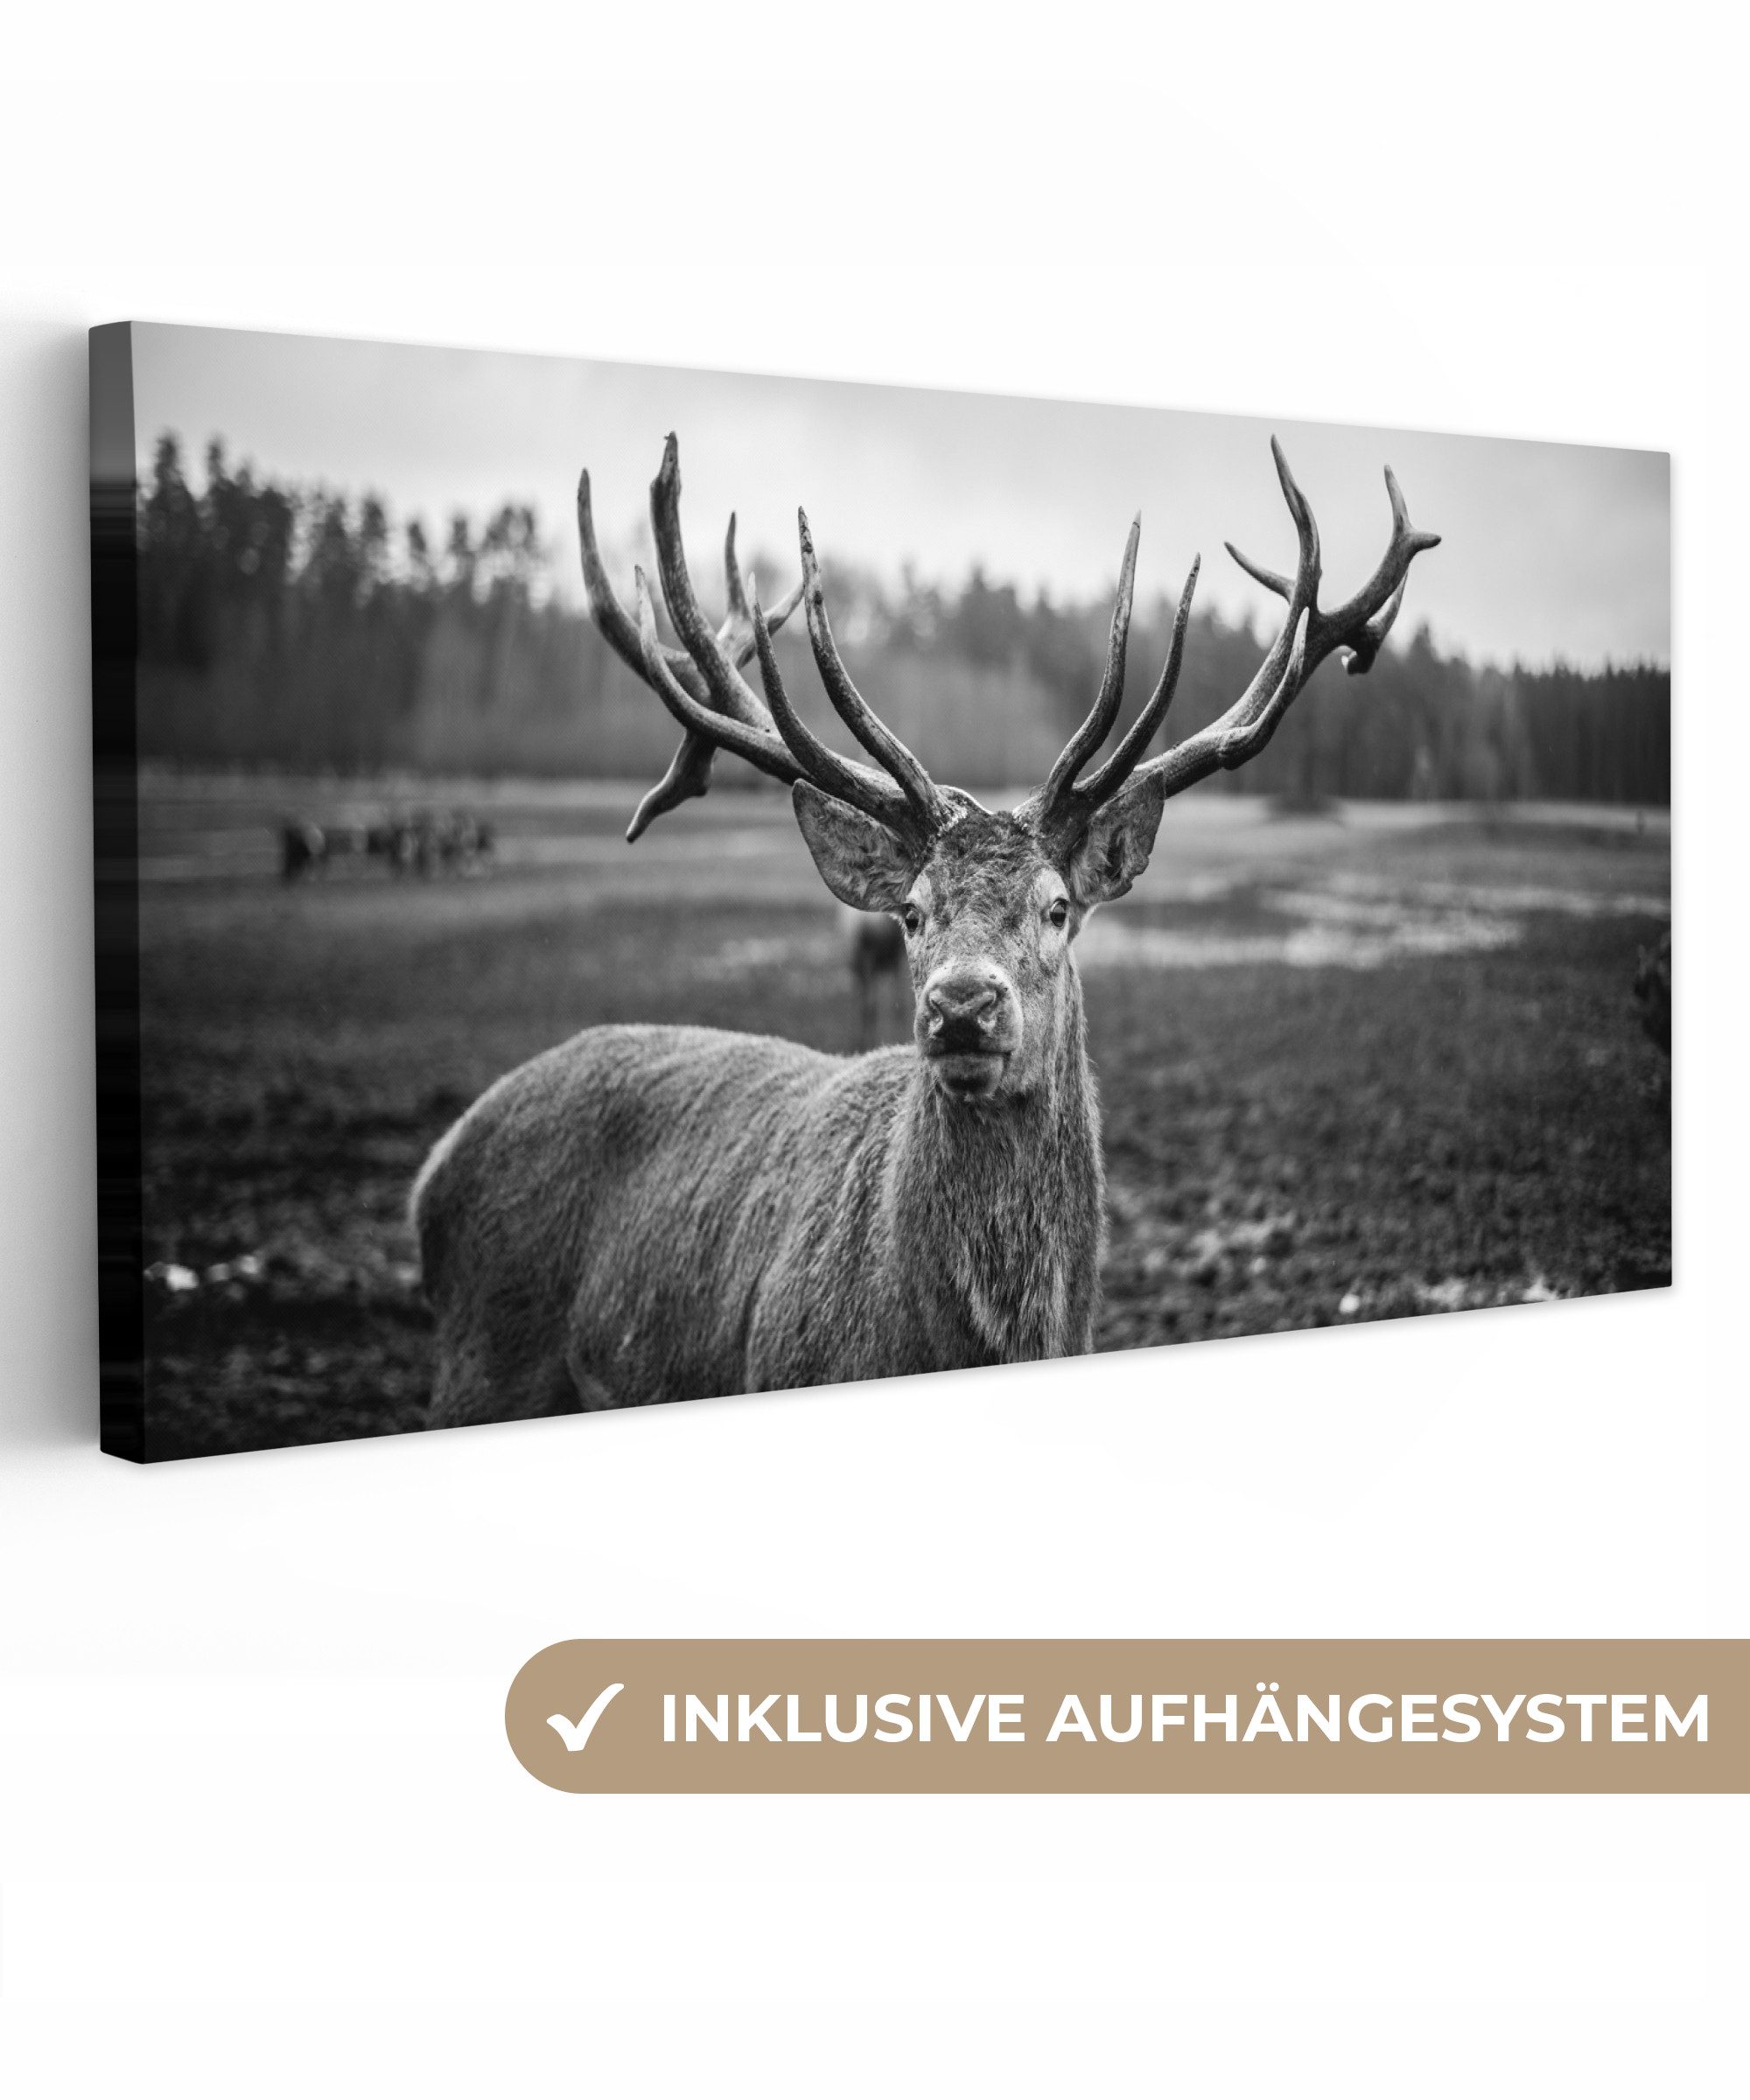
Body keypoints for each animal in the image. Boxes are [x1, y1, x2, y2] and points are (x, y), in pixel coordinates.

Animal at [411, 434, 1437, 1428]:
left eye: (1057, 907)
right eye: (911, 910)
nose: (962, 1005)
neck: (959, 1343)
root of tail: (432, 1173)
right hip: (482, 1360)